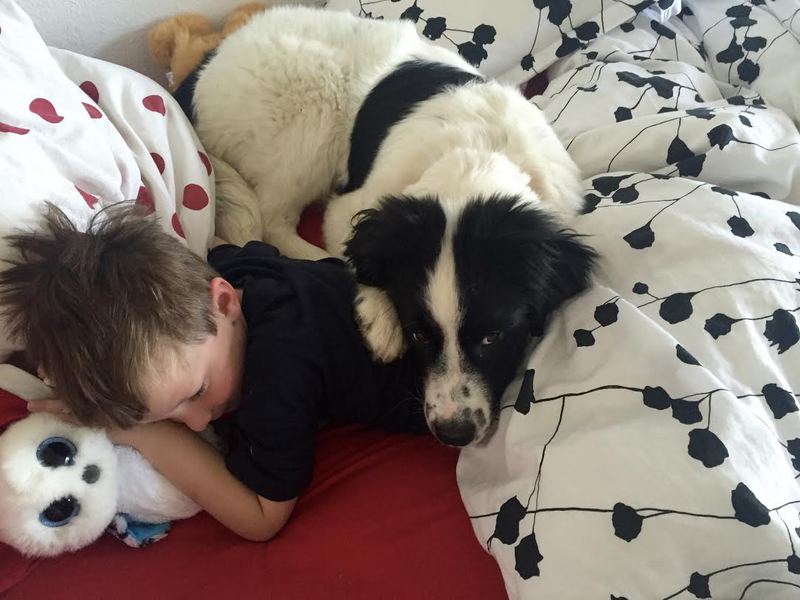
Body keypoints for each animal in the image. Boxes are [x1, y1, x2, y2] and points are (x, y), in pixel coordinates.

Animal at [187, 6, 596, 446]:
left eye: (493, 336)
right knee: (272, 220)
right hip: (310, 115)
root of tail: (213, 58)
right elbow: (356, 248)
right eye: (417, 334)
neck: (475, 154)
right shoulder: (350, 208)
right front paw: (379, 315)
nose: (453, 432)